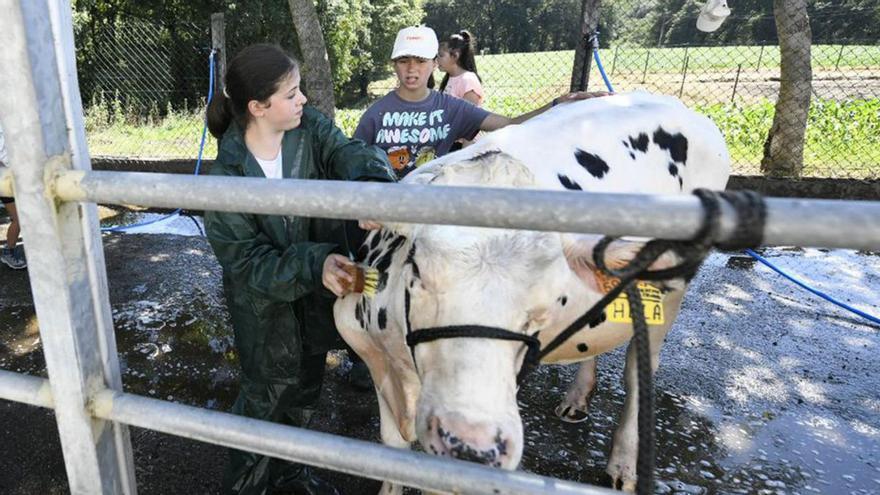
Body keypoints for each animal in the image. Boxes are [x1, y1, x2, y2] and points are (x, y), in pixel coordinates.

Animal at [332, 92, 728, 492]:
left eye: (547, 304)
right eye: (417, 272)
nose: (472, 443)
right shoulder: (369, 348)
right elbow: (392, 447)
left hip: (671, 296)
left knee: (637, 372)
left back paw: (623, 464)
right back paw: (577, 398)